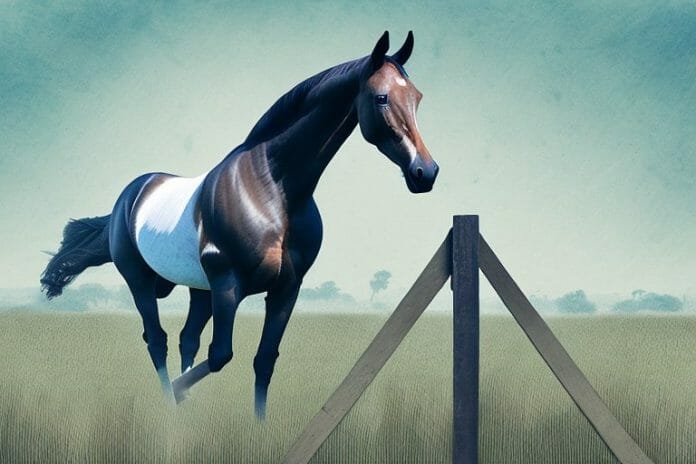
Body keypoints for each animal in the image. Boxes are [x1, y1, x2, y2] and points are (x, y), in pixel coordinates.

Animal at [40, 31, 438, 418]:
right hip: (142, 281)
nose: (425, 172)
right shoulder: (228, 285)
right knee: (158, 340)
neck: (273, 191)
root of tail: (129, 196)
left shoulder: (286, 289)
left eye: (417, 97)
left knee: (186, 338)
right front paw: (179, 393)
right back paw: (171, 402)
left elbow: (263, 361)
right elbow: (220, 355)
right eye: (381, 97)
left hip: (199, 290)